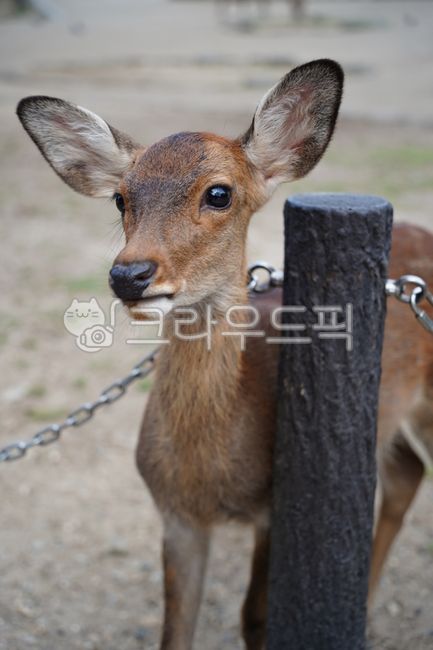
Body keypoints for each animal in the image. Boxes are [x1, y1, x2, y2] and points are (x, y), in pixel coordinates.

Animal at [16, 59, 433, 650]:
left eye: (219, 193)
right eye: (121, 198)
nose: (130, 274)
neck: (209, 476)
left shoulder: (274, 507)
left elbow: (253, 616)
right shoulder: (176, 515)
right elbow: (174, 628)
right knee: (406, 474)